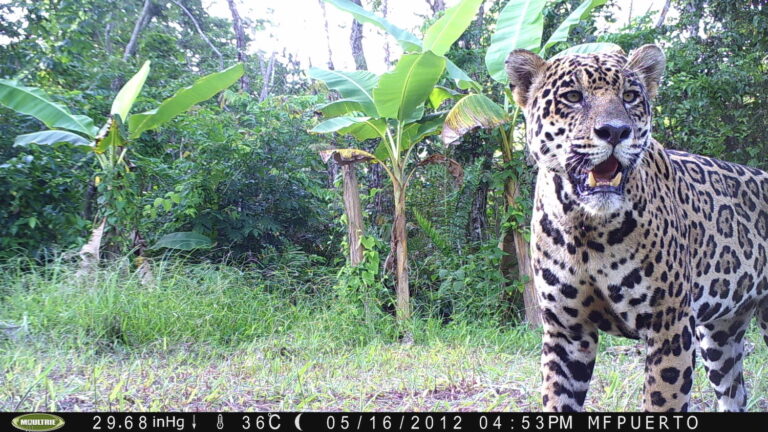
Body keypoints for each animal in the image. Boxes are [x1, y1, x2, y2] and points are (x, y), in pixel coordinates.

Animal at [505, 44, 768, 412]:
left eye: (629, 96)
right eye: (573, 96)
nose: (615, 131)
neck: (586, 230)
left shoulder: (669, 326)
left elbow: (662, 401)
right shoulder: (566, 332)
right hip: (720, 334)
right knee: (735, 393)